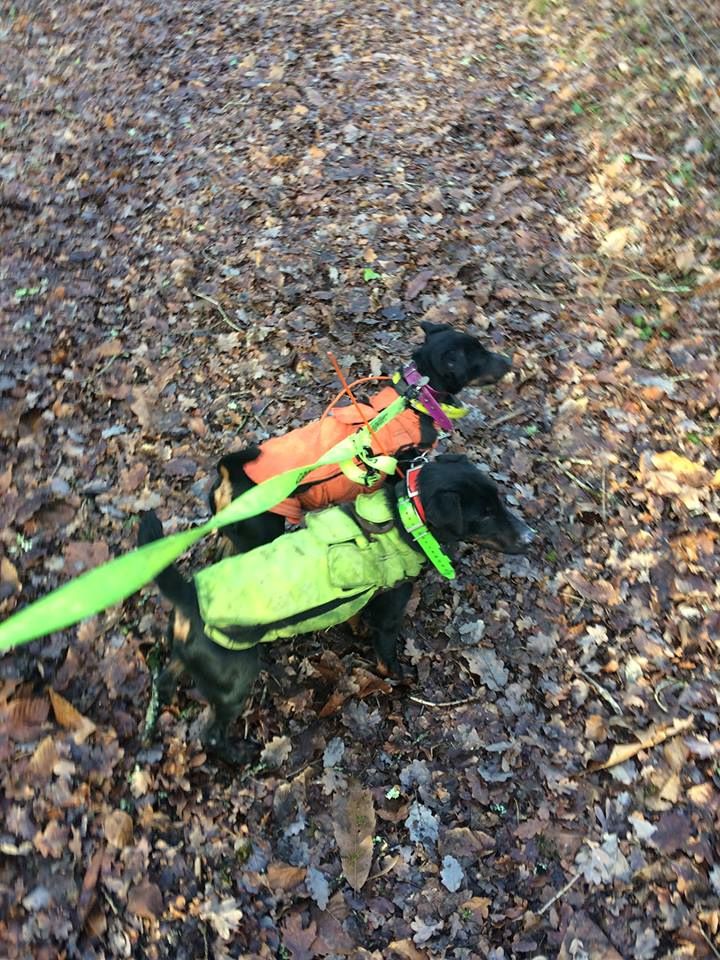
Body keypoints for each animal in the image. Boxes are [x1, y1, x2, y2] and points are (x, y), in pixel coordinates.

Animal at [138, 454, 532, 760]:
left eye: (499, 501)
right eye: (483, 515)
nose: (531, 536)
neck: (405, 518)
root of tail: (189, 594)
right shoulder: (389, 618)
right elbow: (388, 658)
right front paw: (401, 680)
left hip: (188, 657)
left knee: (165, 678)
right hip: (235, 678)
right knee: (211, 735)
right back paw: (239, 755)